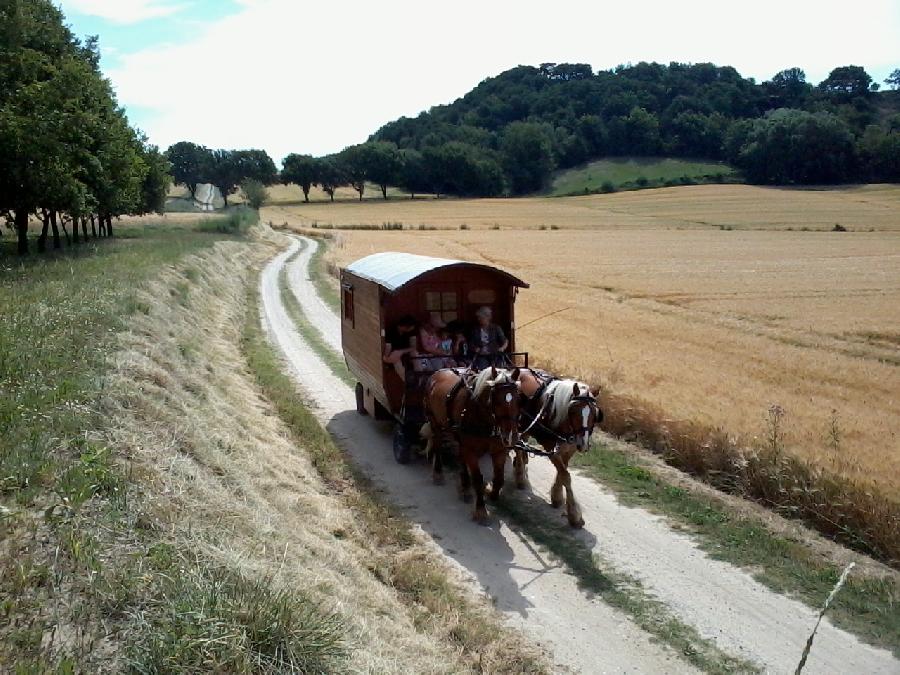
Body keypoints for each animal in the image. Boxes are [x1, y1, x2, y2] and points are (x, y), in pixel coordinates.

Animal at [516, 370, 600, 528]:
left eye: (594, 413)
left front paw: (557, 496)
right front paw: (574, 515)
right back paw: (520, 476)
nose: (583, 444)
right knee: (517, 446)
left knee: (521, 443)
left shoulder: (569, 449)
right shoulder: (550, 447)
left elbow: (562, 471)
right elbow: (566, 476)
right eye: (573, 411)